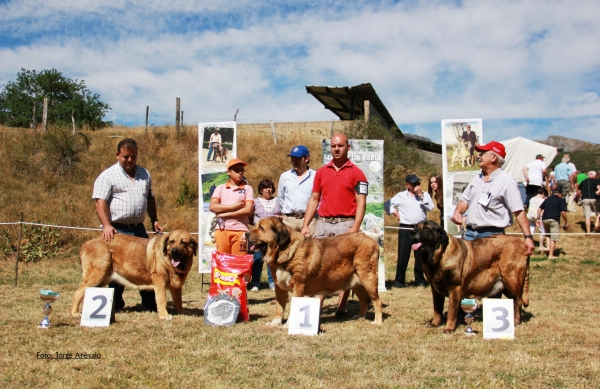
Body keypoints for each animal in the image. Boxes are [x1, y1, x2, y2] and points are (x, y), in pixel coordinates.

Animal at [248, 217, 384, 322]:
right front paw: (275, 323)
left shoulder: (298, 286)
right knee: (364, 301)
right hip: (356, 283)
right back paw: (360, 317)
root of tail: (372, 240)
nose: (246, 234)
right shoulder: (279, 288)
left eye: (261, 228)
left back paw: (377, 321)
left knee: (377, 301)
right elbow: (279, 307)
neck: (284, 251)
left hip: (368, 279)